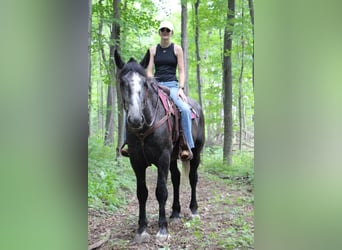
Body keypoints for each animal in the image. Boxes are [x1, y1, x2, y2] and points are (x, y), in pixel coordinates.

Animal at [115, 48, 204, 242]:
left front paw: (162, 229)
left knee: (192, 178)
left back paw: (193, 210)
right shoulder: (136, 161)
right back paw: (175, 213)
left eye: (145, 84)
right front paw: (141, 229)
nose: (135, 119)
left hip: (196, 153)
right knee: (176, 178)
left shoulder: (162, 158)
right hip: (173, 157)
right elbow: (142, 192)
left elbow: (161, 191)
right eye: (122, 82)